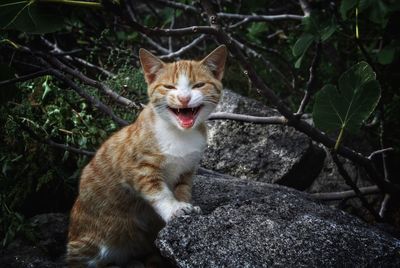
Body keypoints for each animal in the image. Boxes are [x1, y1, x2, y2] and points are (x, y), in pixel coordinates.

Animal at [67, 45, 227, 266]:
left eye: (199, 85)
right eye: (169, 86)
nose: (184, 98)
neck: (179, 134)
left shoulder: (187, 169)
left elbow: (183, 189)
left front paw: (185, 205)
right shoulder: (139, 168)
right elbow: (159, 192)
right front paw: (174, 209)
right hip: (88, 242)